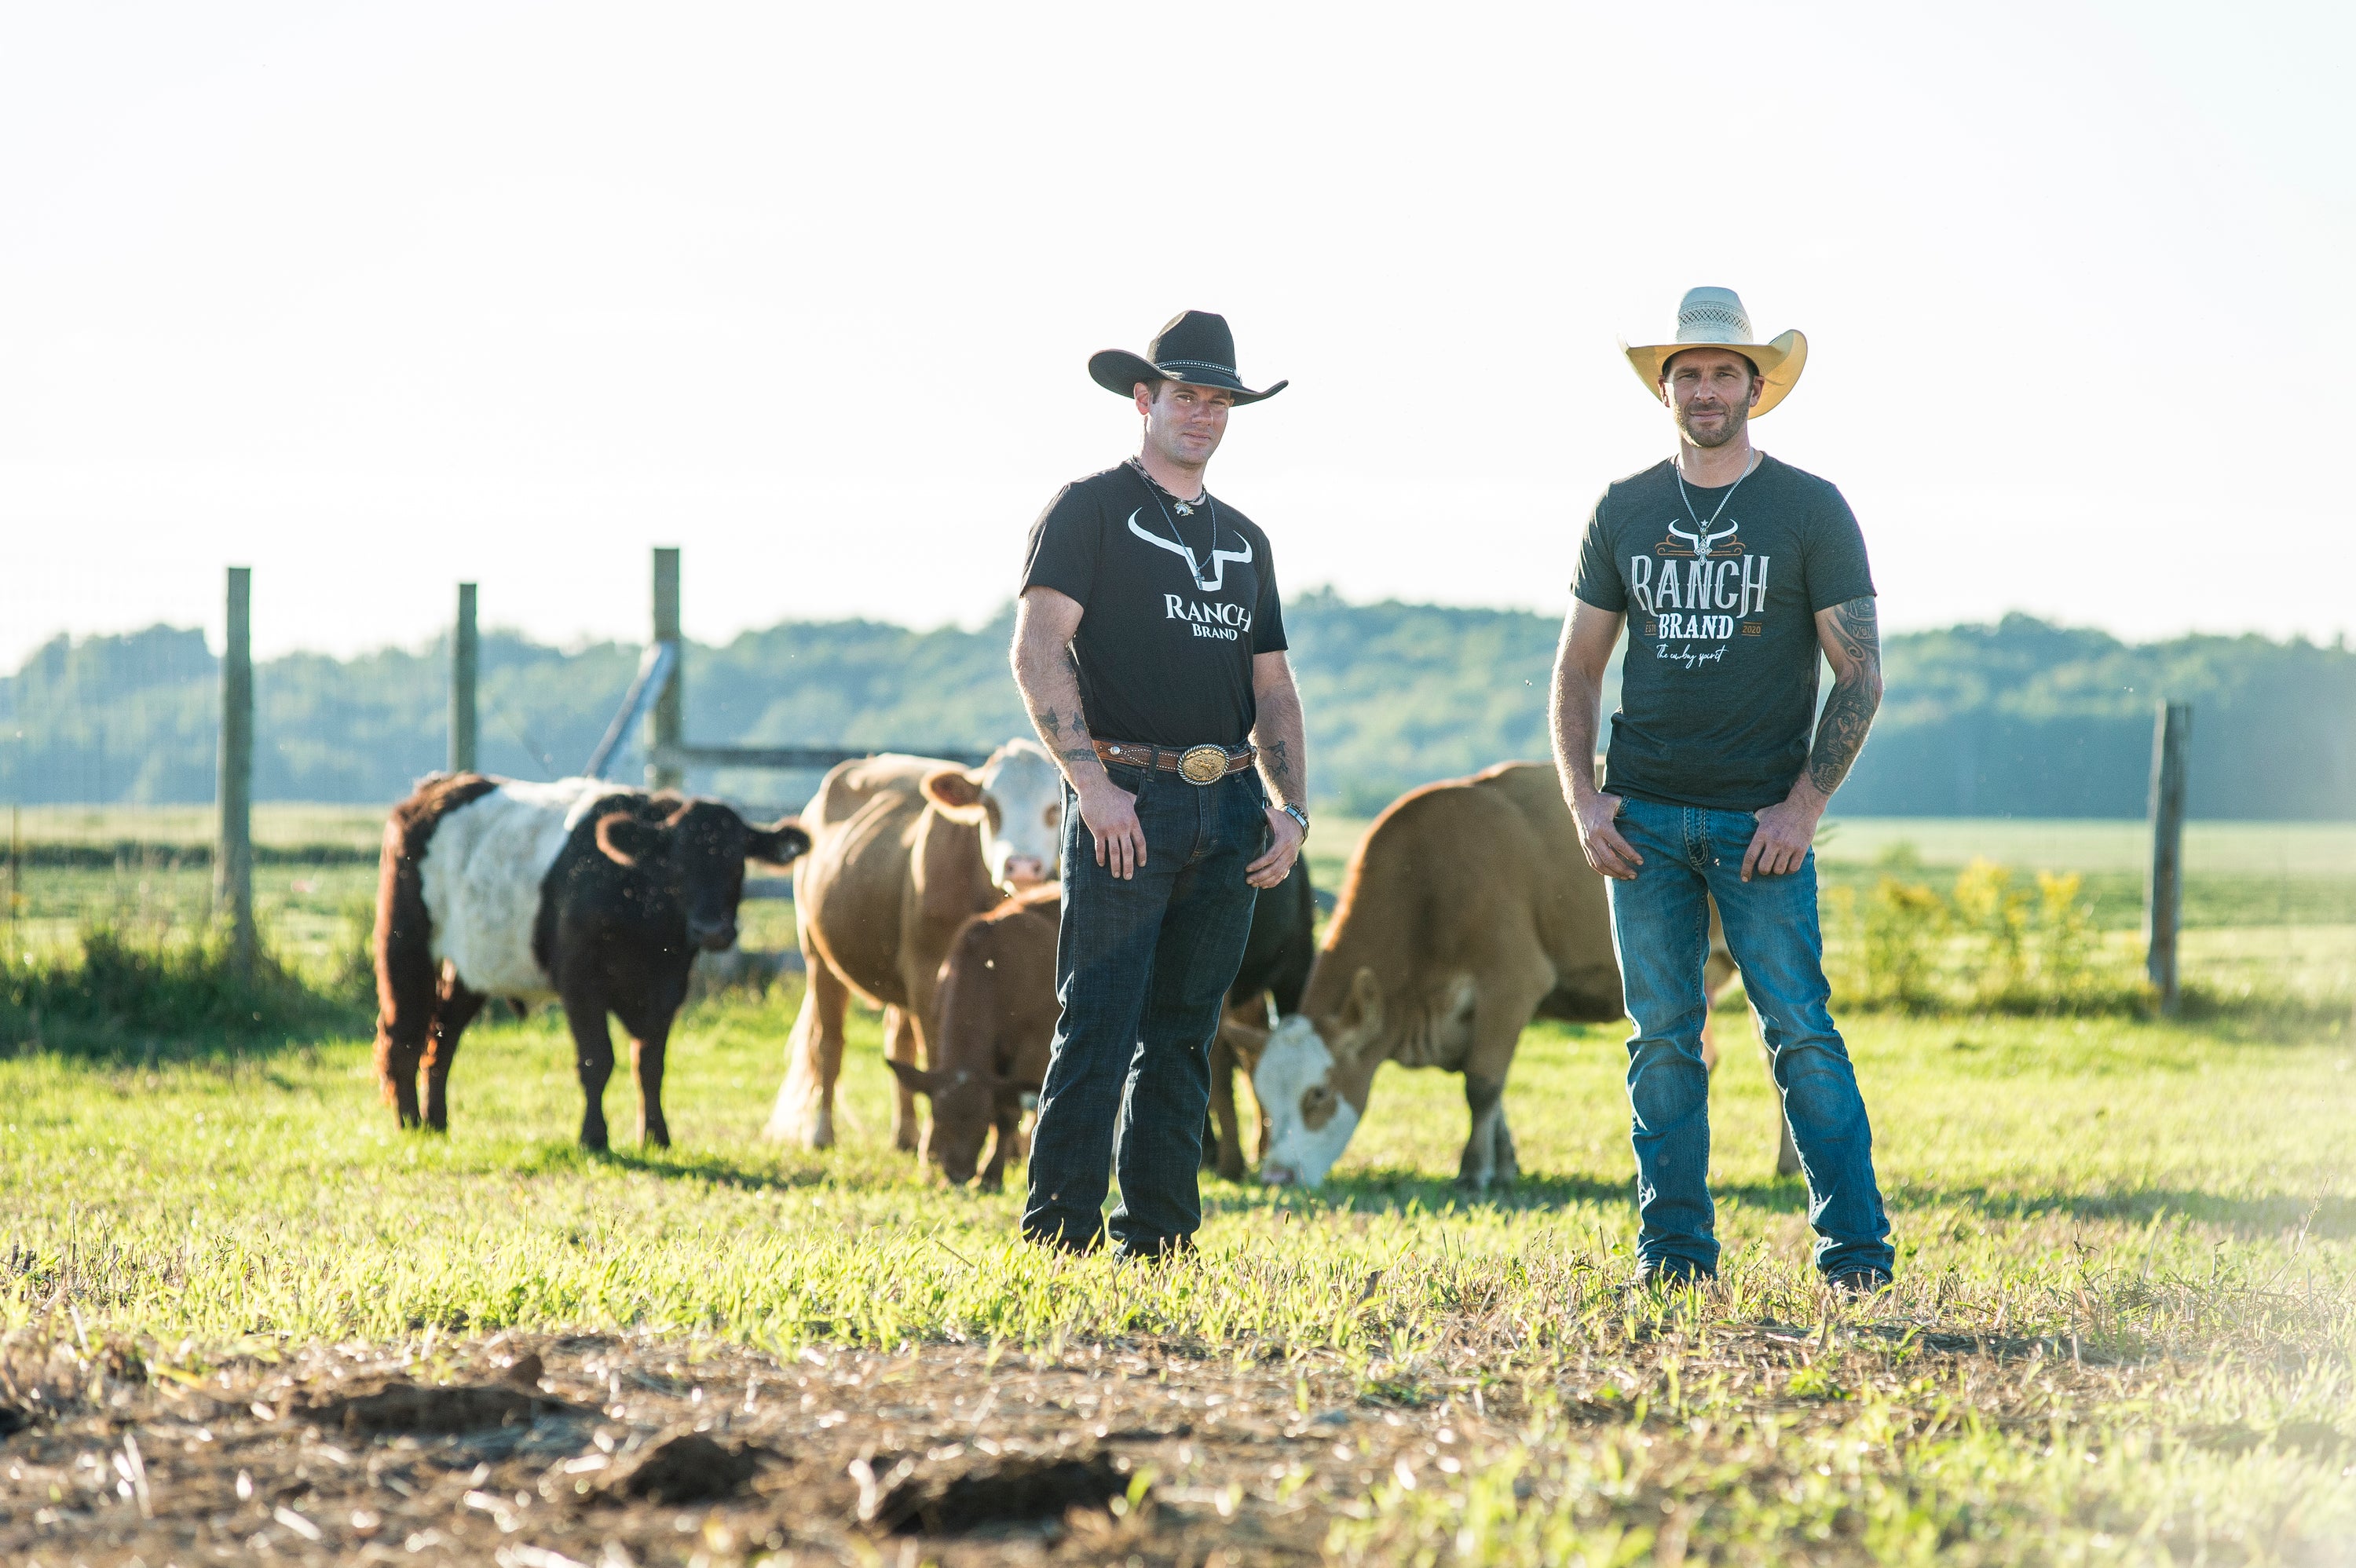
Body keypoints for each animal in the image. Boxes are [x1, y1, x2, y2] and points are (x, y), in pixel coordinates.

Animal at [370, 772, 810, 1149]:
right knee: (403, 1037)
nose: (713, 931)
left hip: (471, 966)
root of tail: (438, 788)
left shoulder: (667, 987)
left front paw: (656, 1137)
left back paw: (437, 1123)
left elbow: (650, 1065)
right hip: (404, 944)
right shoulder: (580, 981)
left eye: (738, 863)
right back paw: (410, 1123)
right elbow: (596, 1059)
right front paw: (594, 1137)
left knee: (442, 1038)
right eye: (677, 863)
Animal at [763, 734, 1060, 1149]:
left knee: (898, 1042)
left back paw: (905, 1133)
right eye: (990, 807)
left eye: (1056, 806)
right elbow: (934, 1050)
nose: (1022, 866)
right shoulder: (929, 972)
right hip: (819, 958)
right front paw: (936, 1143)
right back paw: (823, 1133)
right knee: (830, 1045)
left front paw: (1016, 1145)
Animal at [1253, 758, 1753, 1186]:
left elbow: (1482, 1085)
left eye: (1318, 1094)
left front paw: (1474, 1171)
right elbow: (1494, 1092)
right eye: (1261, 1099)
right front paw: (1506, 1162)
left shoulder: (1510, 985)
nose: (1277, 1176)